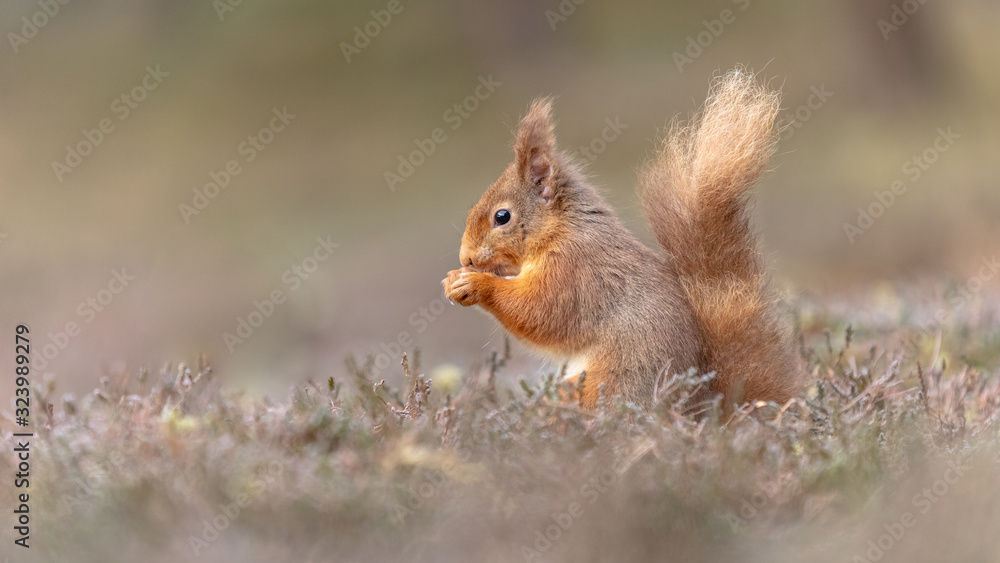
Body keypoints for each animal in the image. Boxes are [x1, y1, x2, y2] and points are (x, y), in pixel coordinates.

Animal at [442, 69, 801, 410]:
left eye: (502, 216)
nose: (465, 258)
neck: (560, 230)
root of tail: (700, 408)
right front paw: (453, 278)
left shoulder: (575, 271)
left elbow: (541, 312)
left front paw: (475, 284)